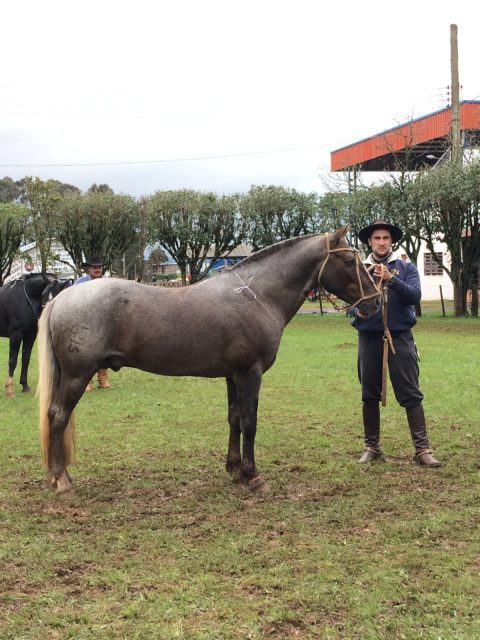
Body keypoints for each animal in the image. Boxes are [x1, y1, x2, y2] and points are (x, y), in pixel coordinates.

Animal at [38, 225, 381, 495]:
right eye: (349, 260)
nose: (375, 303)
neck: (256, 294)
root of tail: (61, 298)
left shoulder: (233, 375)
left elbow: (234, 418)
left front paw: (235, 470)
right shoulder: (250, 373)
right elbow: (250, 421)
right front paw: (253, 475)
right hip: (77, 376)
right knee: (58, 416)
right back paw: (61, 482)